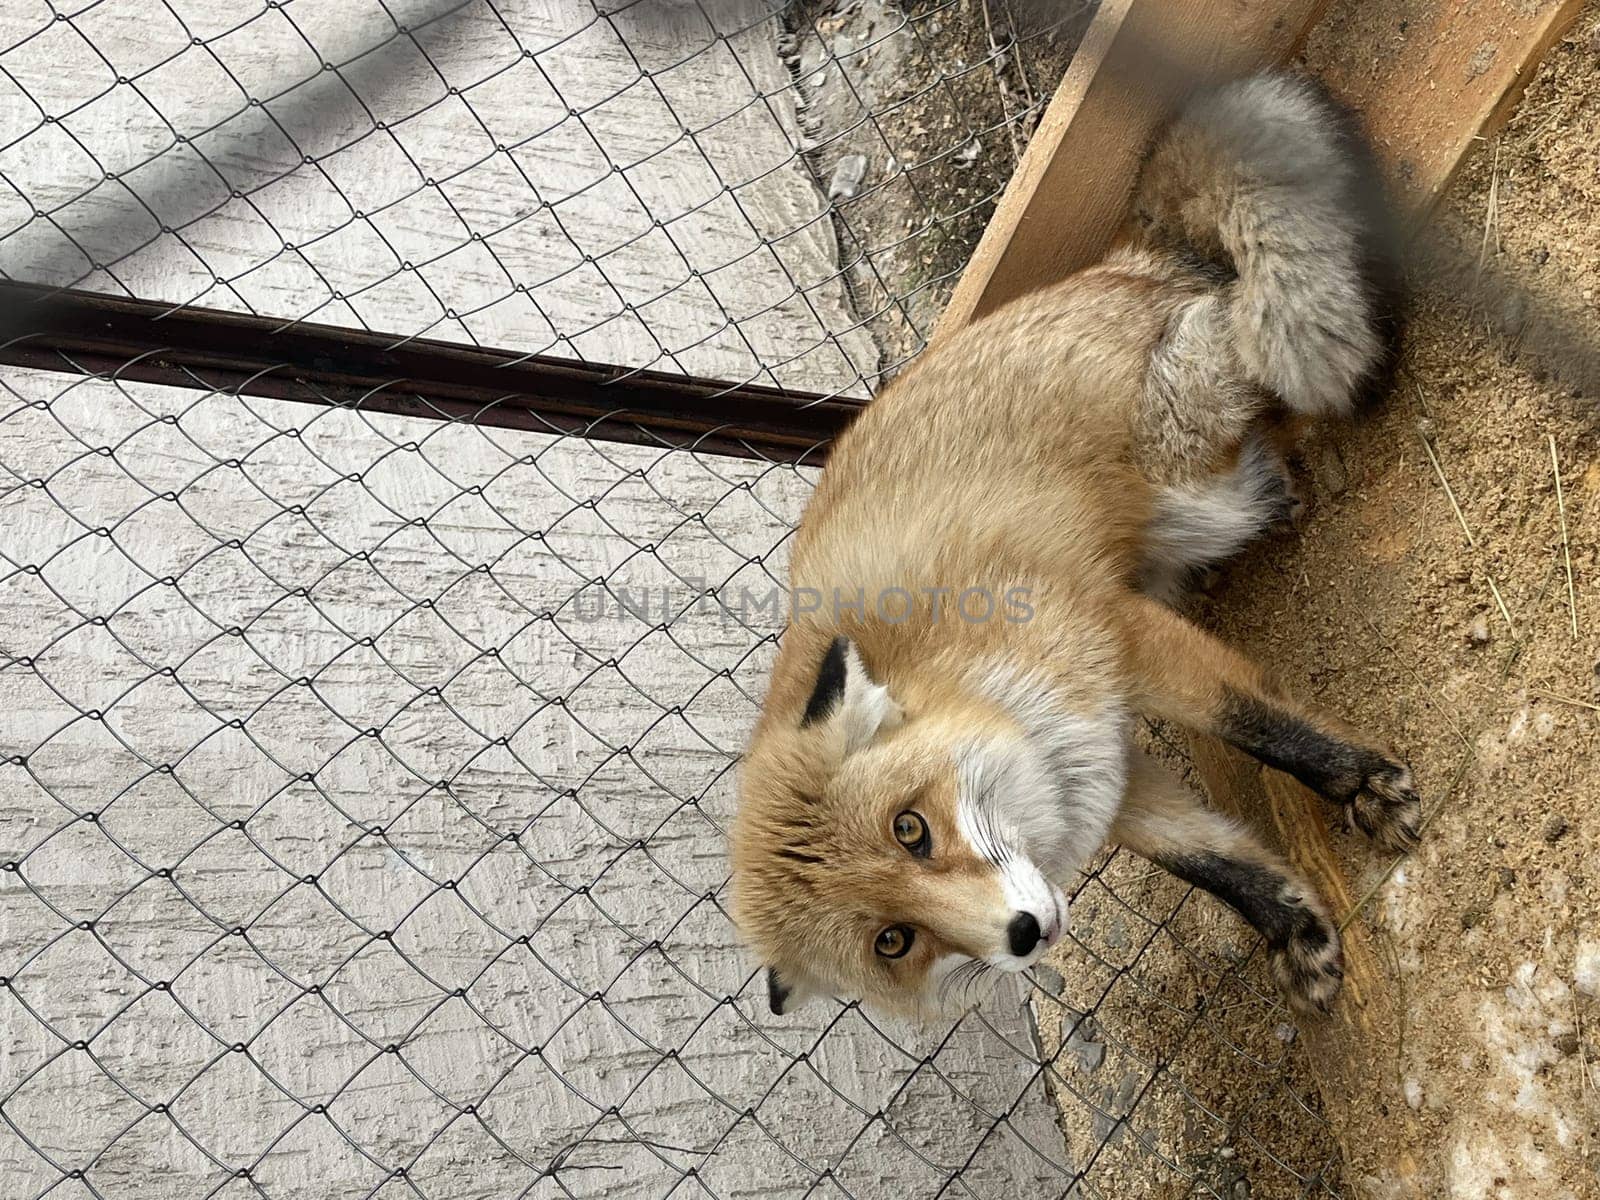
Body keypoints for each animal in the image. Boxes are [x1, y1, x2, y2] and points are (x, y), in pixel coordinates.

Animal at [732, 70, 1420, 1017]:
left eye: (910, 829)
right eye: (894, 941)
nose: (1026, 934)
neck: (969, 682)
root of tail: (1119, 261)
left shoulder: (1119, 635)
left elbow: (1264, 727)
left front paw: (1359, 785)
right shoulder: (1101, 774)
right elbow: (1211, 862)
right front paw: (1294, 930)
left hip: (1191, 439)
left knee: (1247, 317)